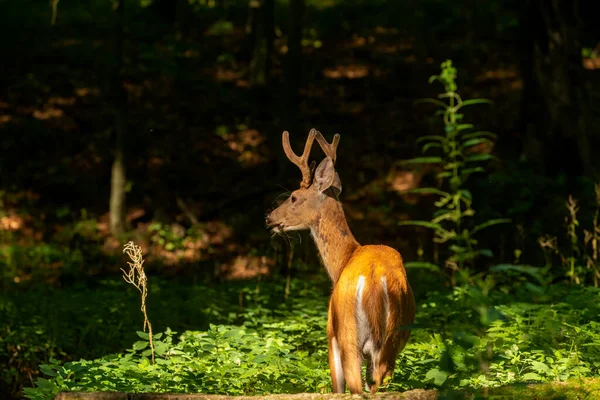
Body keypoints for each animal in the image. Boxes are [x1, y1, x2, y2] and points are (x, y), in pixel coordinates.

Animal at [268, 129, 418, 394]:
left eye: (294, 197)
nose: (269, 218)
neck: (344, 259)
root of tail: (372, 280)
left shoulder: (330, 334)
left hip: (347, 333)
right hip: (391, 341)